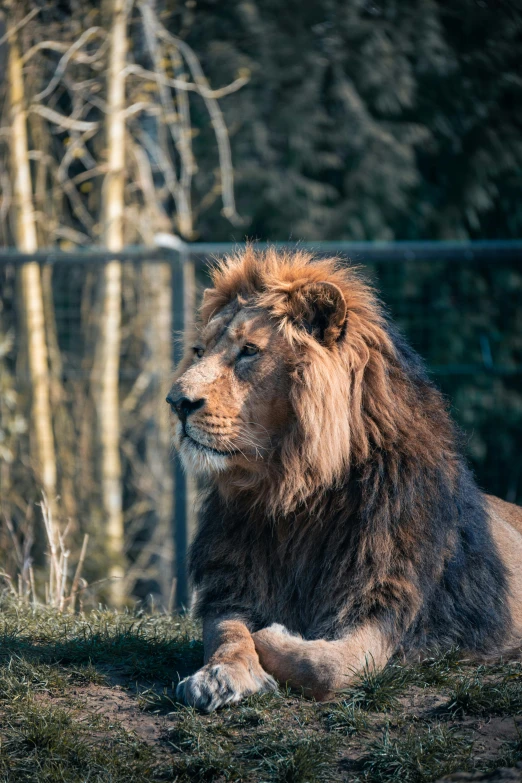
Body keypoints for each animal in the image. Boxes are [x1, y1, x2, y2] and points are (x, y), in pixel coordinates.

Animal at [166, 248, 520, 712]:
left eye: (249, 351)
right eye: (198, 350)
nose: (176, 402)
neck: (295, 494)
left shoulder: (386, 598)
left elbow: (328, 666)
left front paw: (274, 635)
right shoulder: (232, 582)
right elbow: (228, 633)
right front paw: (219, 675)